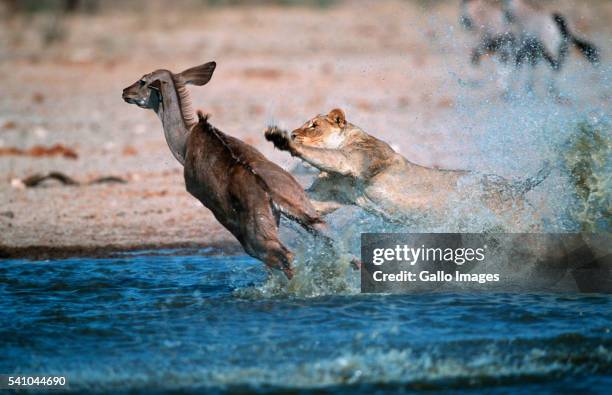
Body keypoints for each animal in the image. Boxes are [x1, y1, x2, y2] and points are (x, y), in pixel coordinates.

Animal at [122, 62, 332, 278]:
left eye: (143, 81)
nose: (125, 92)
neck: (185, 143)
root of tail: (268, 190)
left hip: (257, 238)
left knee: (286, 257)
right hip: (310, 217)